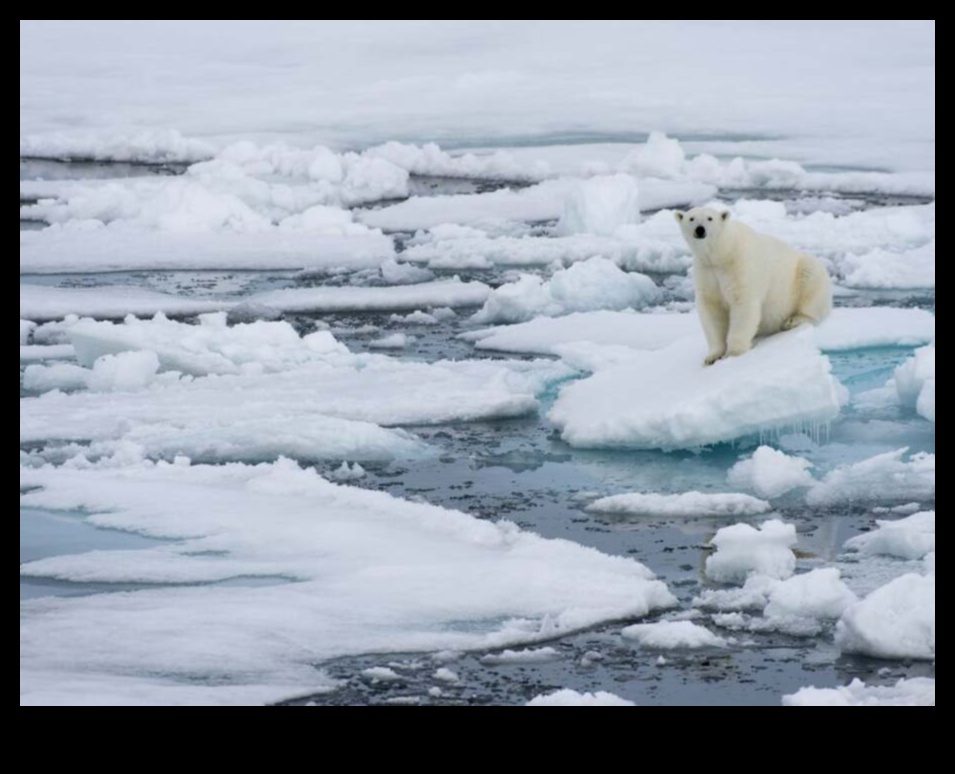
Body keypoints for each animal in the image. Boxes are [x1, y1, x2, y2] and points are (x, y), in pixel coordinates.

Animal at [676, 206, 832, 364]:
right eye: (691, 218)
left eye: (710, 218)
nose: (700, 229)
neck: (721, 253)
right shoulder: (707, 271)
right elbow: (712, 309)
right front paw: (712, 357)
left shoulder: (739, 265)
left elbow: (743, 305)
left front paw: (733, 353)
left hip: (802, 273)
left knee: (811, 282)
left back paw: (793, 320)